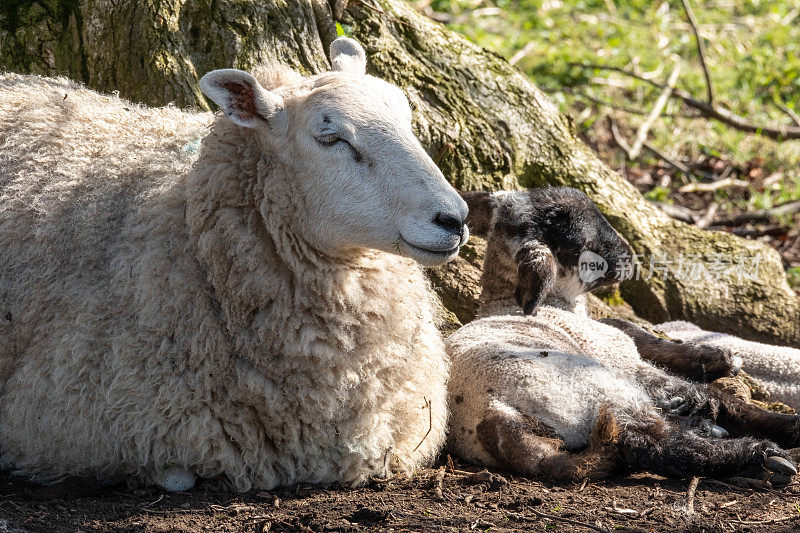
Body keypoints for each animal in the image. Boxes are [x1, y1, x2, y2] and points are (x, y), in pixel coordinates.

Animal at [446, 189, 796, 484]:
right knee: (654, 444)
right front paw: (784, 422)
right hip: (598, 390)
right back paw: (761, 456)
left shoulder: (611, 337)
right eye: (577, 236)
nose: (630, 257)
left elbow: (632, 329)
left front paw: (714, 358)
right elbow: (715, 398)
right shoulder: (620, 360)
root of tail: (491, 414)